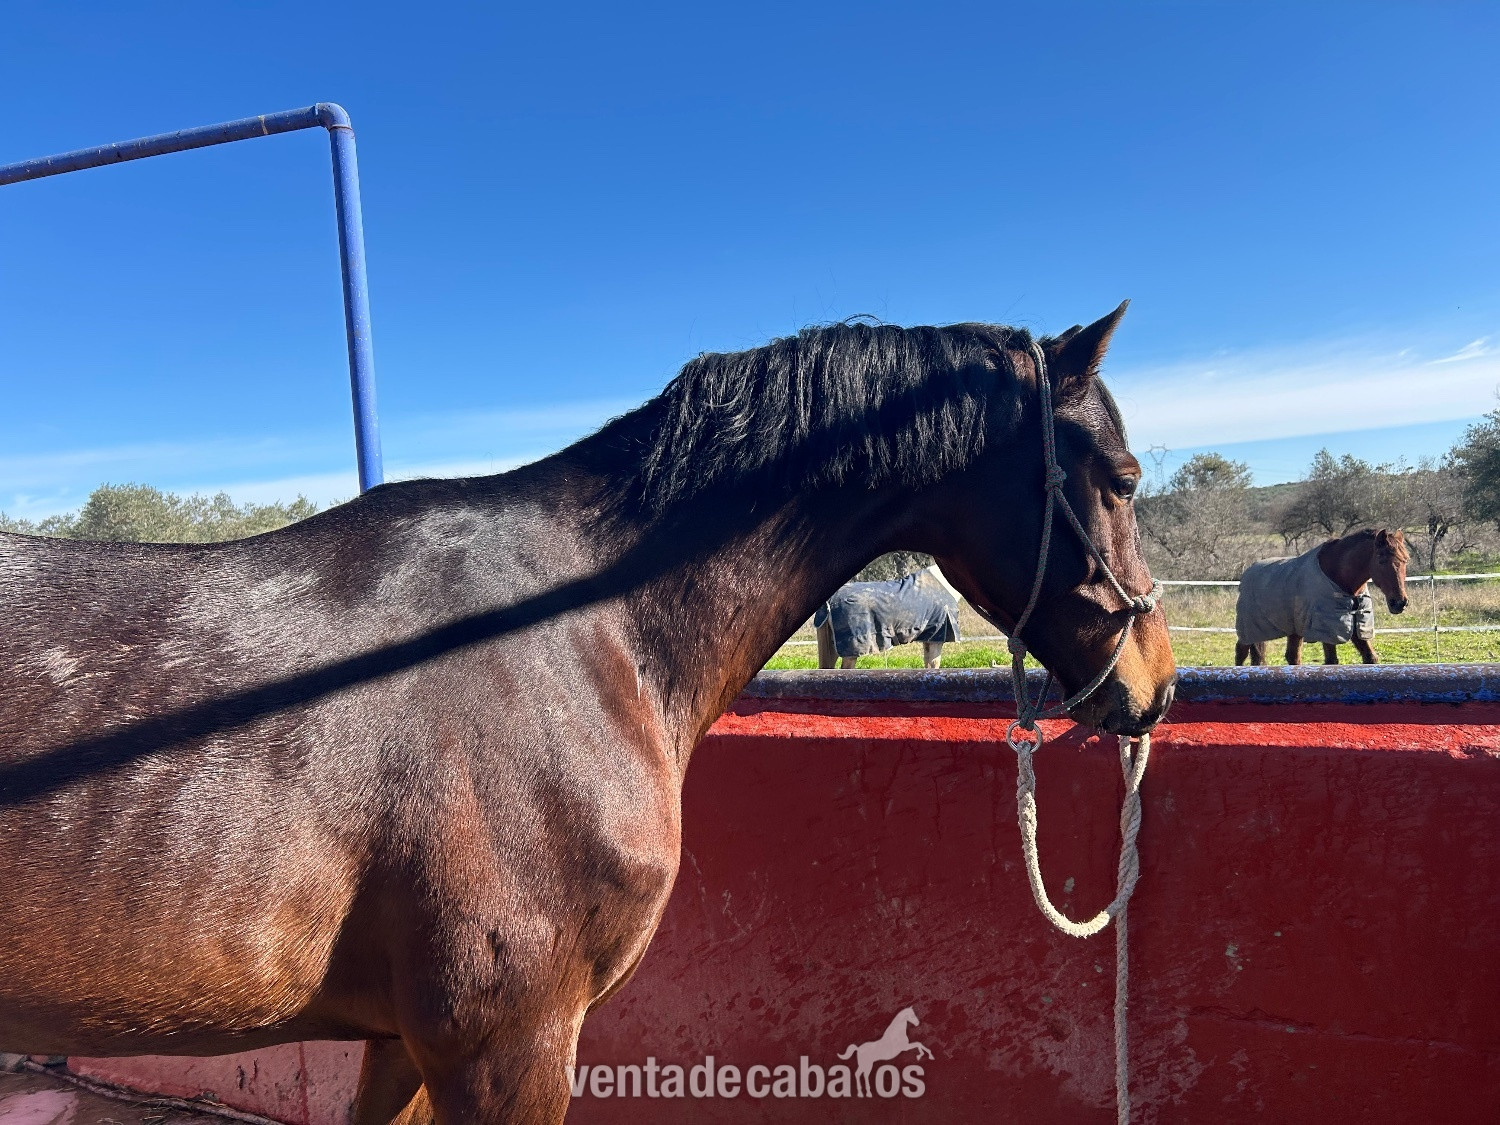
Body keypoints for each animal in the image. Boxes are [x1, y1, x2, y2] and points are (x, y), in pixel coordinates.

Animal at [1234, 528, 1409, 666]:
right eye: (1381, 560)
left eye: (1405, 560)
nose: (1399, 602)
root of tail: (1248, 572)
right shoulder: (1327, 630)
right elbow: (1331, 661)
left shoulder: (1357, 629)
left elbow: (1370, 658)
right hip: (1249, 629)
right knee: (1240, 652)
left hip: (1293, 630)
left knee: (1292, 656)